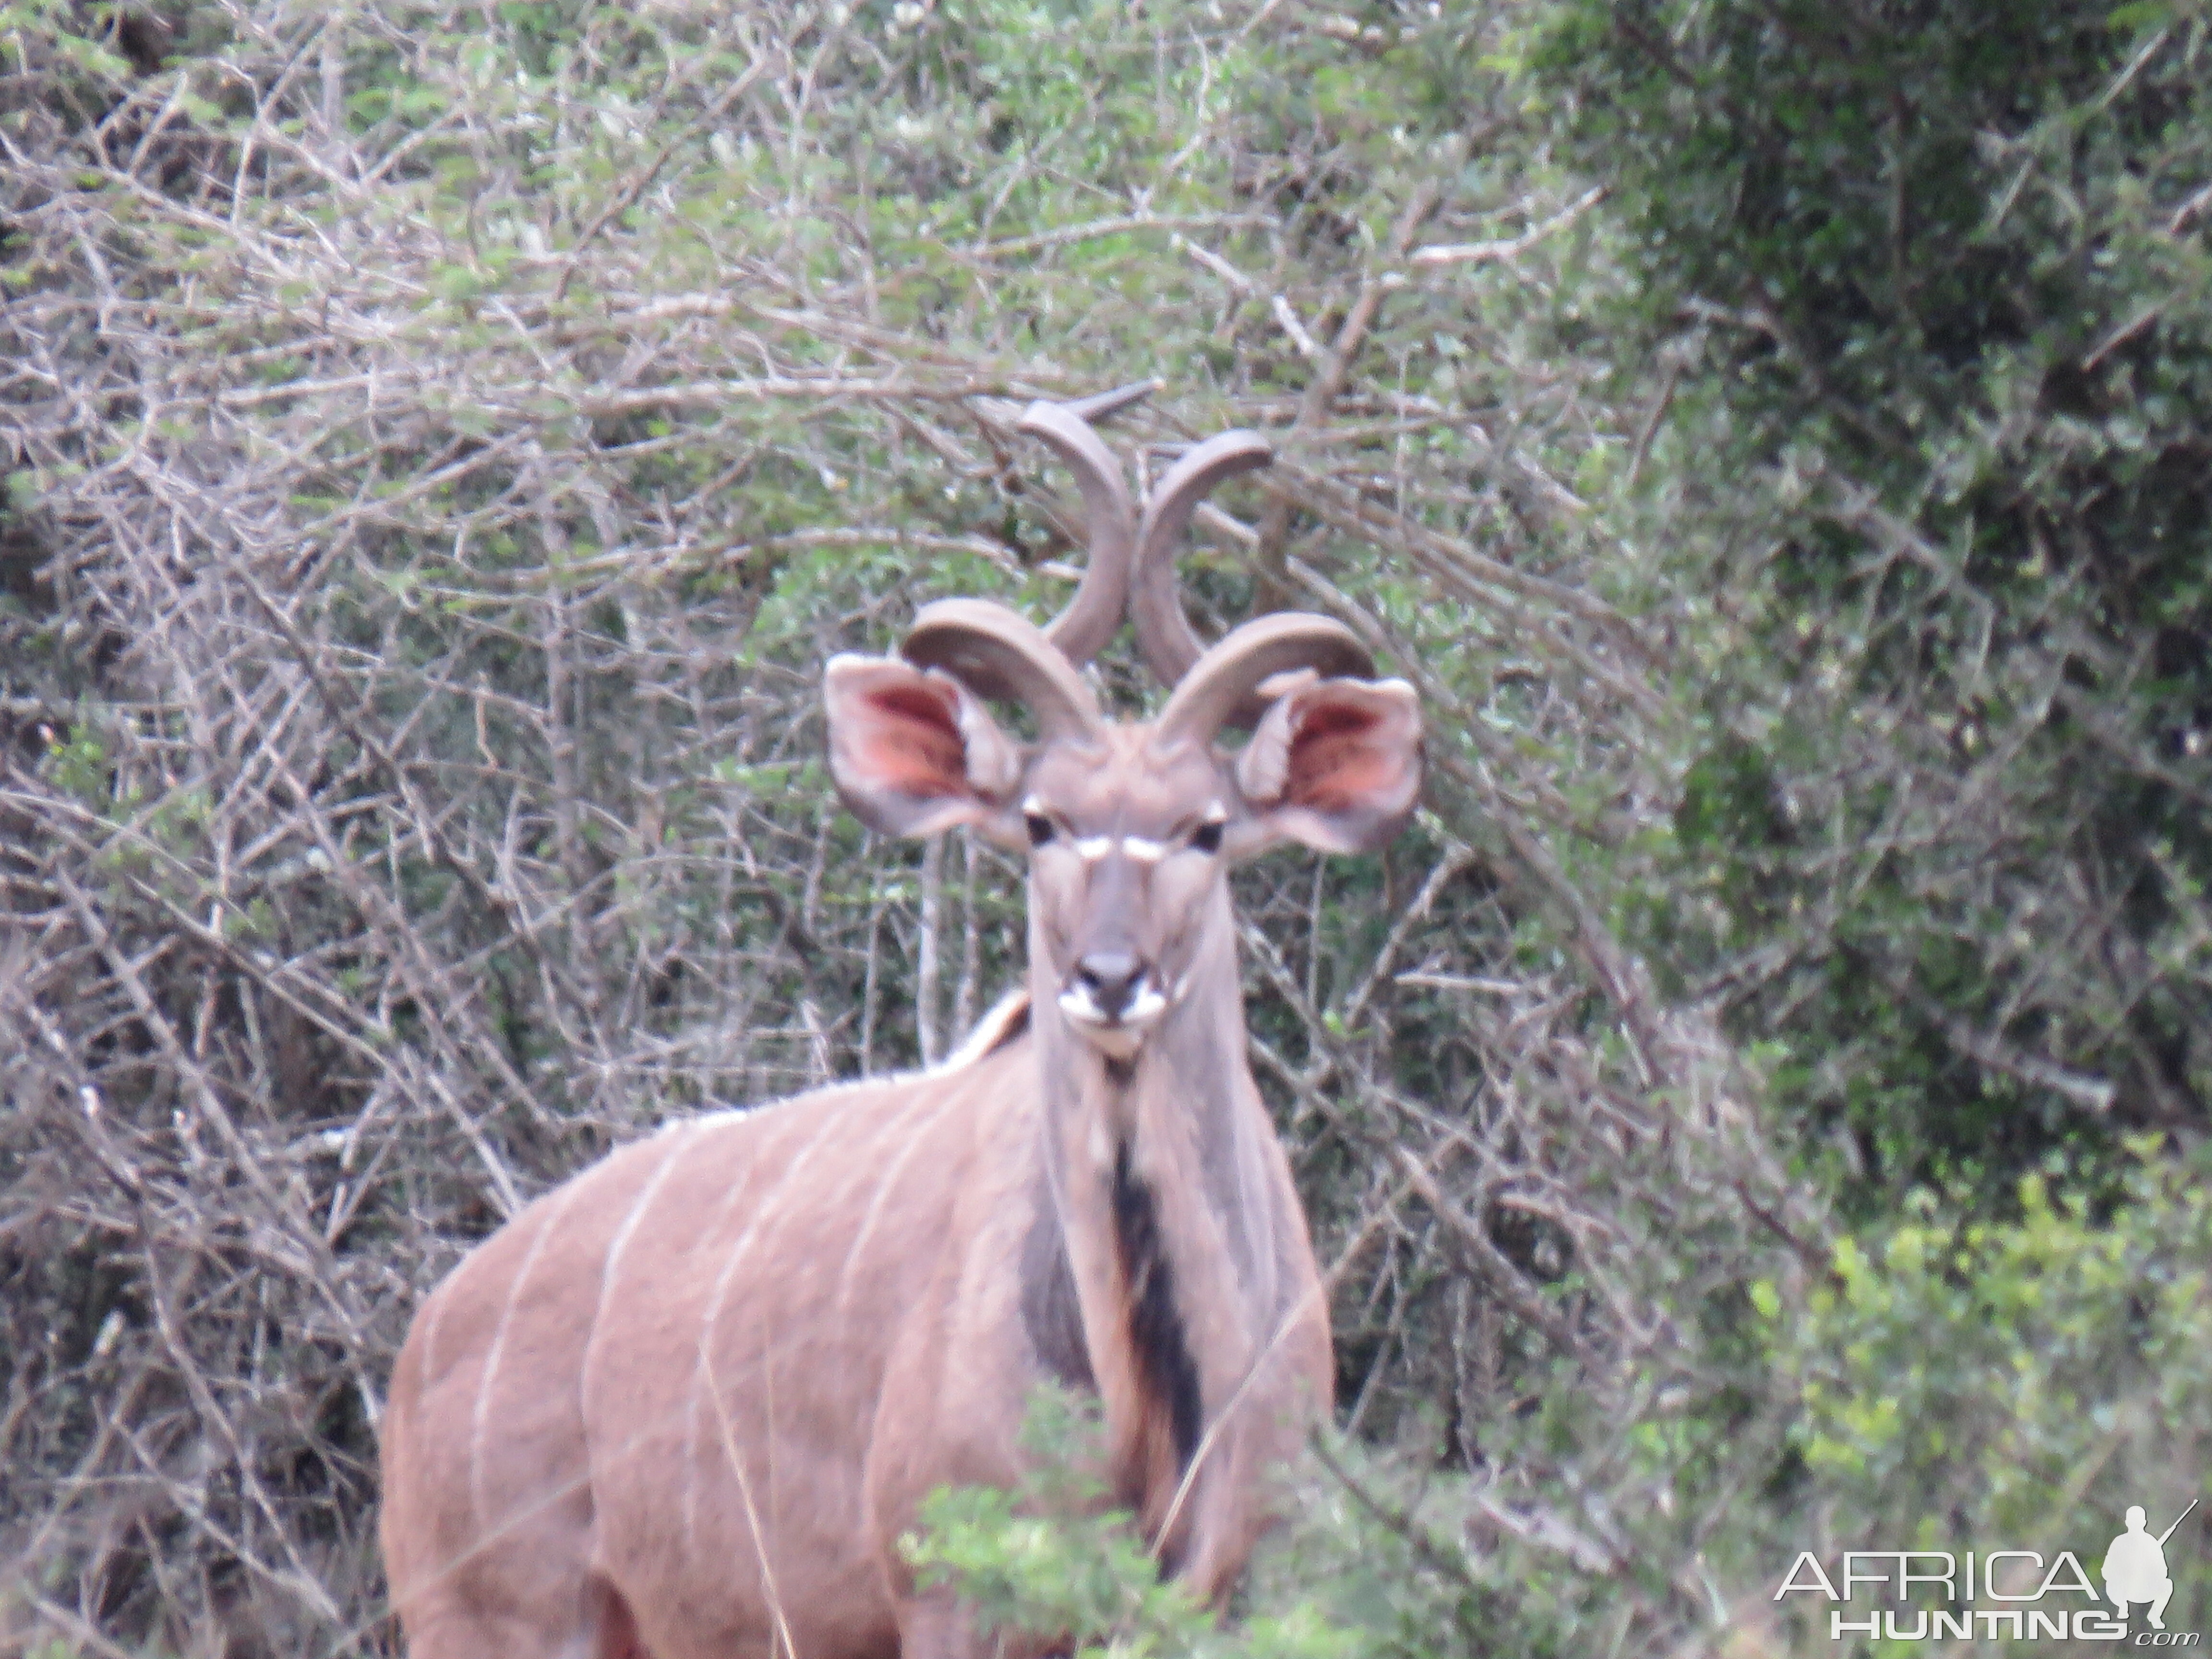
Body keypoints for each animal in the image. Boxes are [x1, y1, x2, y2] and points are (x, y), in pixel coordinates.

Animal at [378, 394, 1416, 1659]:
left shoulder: (1239, 1588)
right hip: (497, 1619)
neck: (1149, 1405)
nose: (1109, 979)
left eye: (1206, 829)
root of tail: (428, 1334)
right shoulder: (953, 1596)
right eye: (1041, 821)